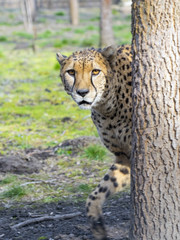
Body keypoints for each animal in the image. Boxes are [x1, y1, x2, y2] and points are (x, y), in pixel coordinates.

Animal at [56, 45, 132, 240]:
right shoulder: (124, 157)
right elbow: (96, 194)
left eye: (95, 71)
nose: (82, 93)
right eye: (71, 72)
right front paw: (97, 225)